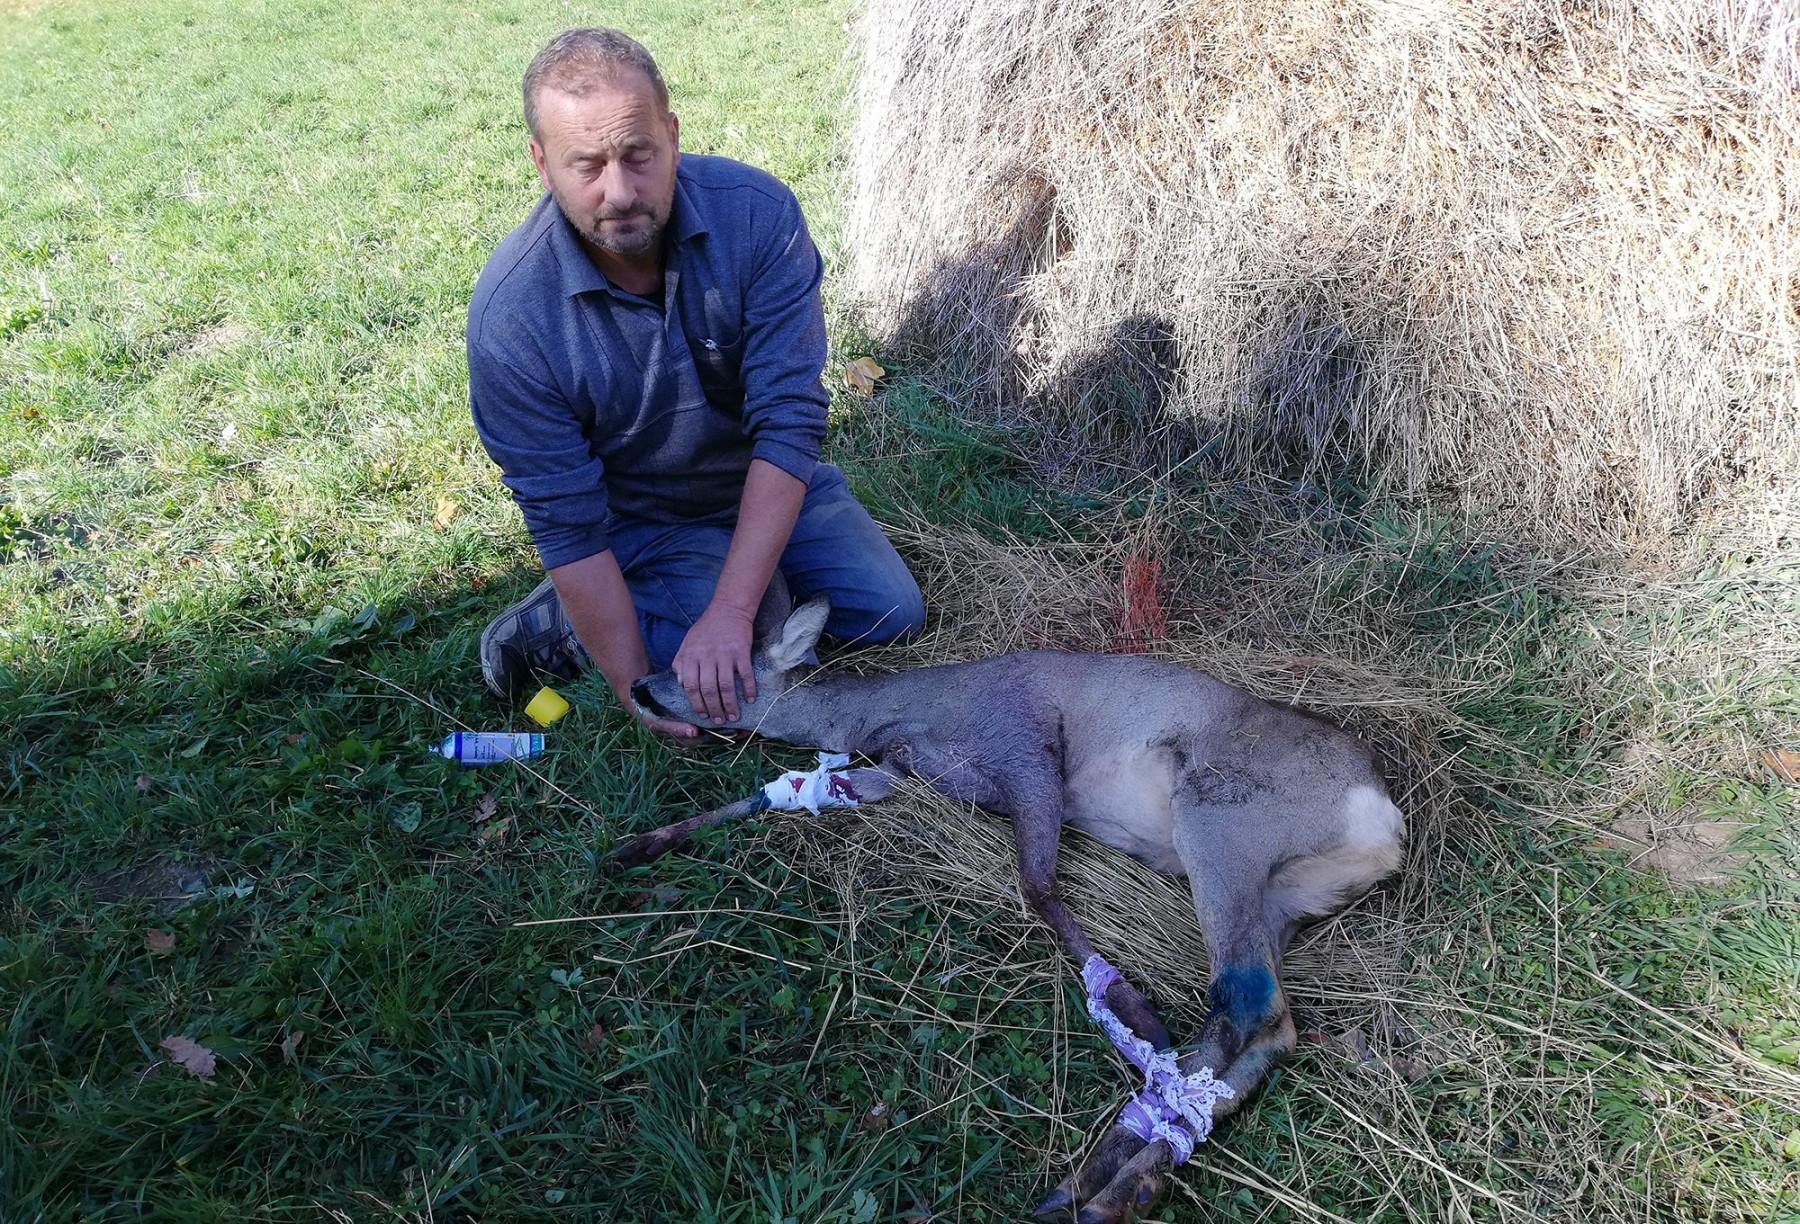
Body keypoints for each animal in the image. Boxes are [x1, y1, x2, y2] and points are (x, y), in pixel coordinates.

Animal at [619, 601, 1404, 1224]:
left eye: (701, 668)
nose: (637, 684)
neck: (901, 715)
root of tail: (1386, 823)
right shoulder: (900, 774)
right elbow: (778, 793)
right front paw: (639, 844)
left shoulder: (1027, 746)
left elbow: (1038, 887)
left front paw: (1130, 1007)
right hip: (1280, 900)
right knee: (1272, 1024)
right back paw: (1117, 1180)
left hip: (1220, 820)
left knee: (1244, 1000)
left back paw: (1105, 1181)